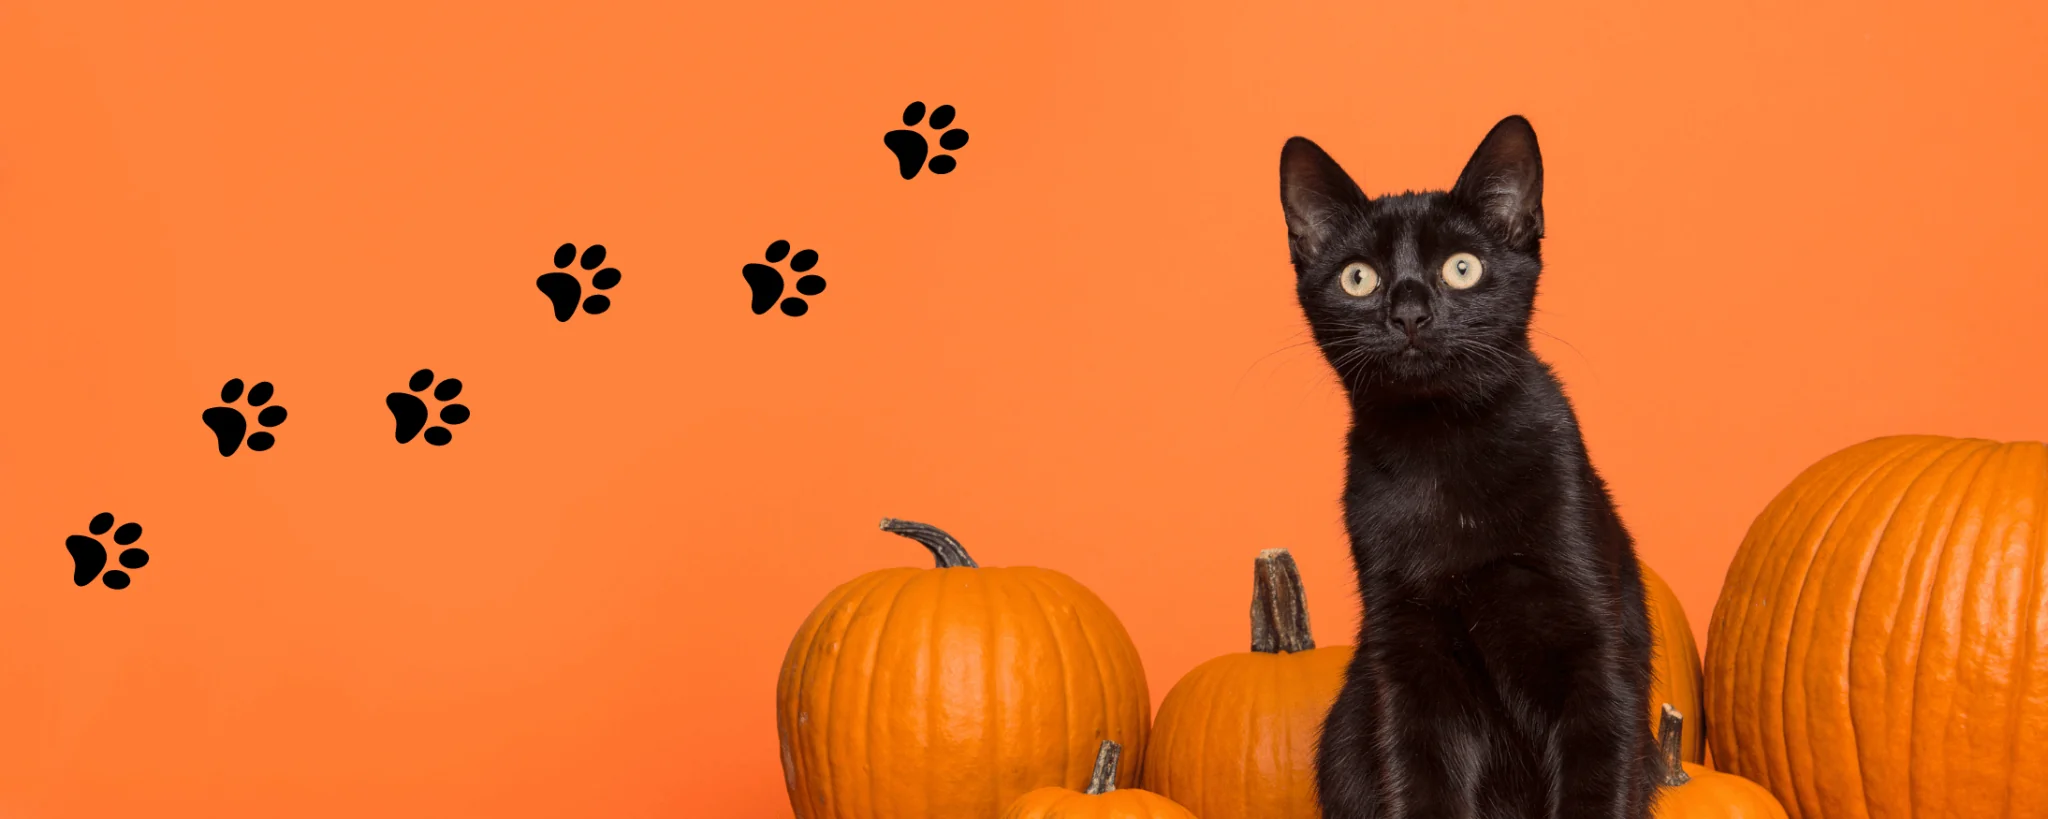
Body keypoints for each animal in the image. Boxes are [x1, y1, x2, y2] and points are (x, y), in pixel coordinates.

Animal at [1277, 116, 1662, 818]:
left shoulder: (1595, 651)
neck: (1443, 453)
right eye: (1358, 278)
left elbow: (1597, 779)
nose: (1409, 312)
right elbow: (1422, 781)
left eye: (1462, 268)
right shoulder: (1407, 660)